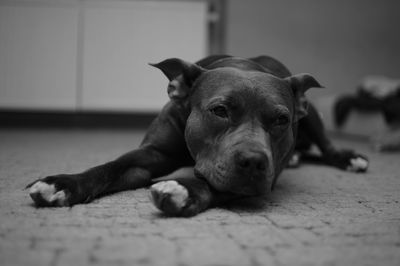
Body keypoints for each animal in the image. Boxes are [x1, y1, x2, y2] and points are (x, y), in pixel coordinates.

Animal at [26, 54, 368, 216]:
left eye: (281, 119)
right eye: (220, 110)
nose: (254, 161)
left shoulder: (260, 177)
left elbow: (215, 184)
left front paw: (184, 190)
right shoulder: (151, 155)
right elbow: (110, 167)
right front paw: (62, 184)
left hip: (313, 116)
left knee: (326, 145)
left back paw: (349, 157)